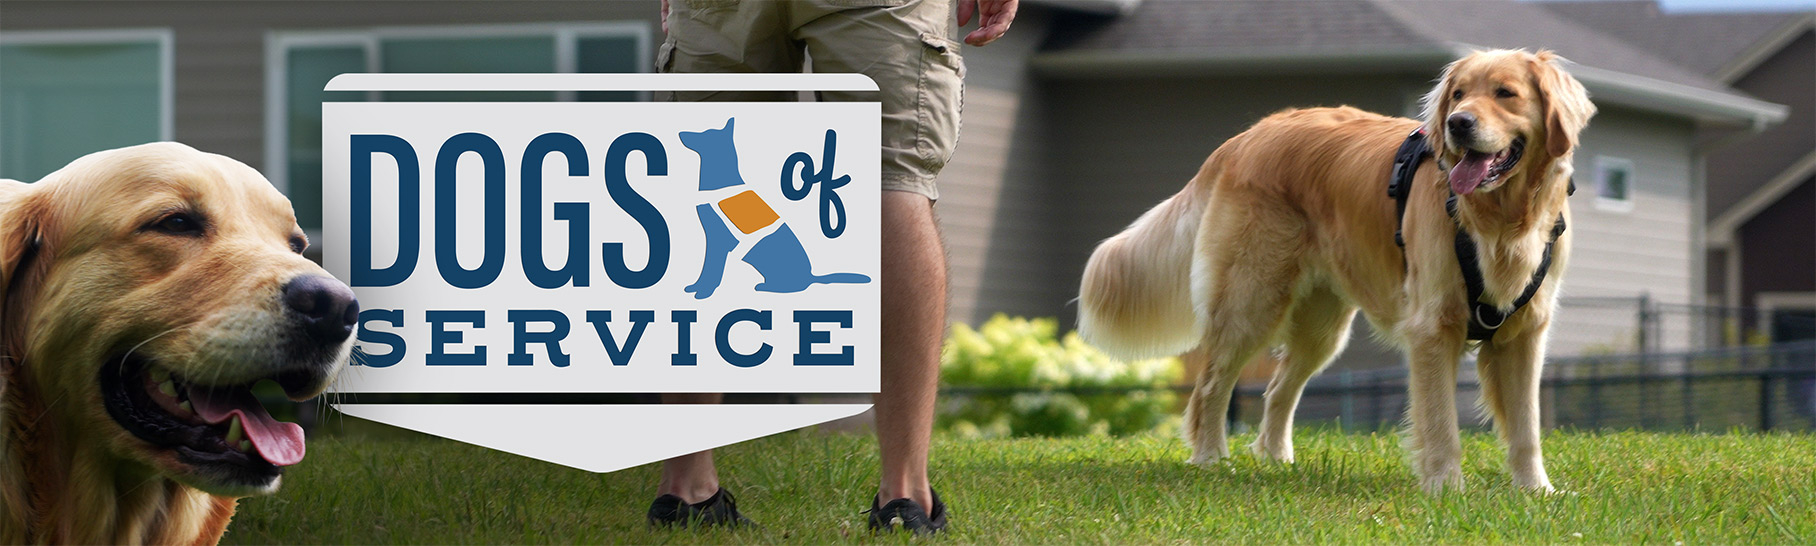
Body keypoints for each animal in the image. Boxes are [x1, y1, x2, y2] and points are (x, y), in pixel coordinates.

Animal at [1082, 51, 1598, 489]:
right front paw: (1445, 489)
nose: (1457, 123)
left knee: (1277, 390)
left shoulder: (1526, 331)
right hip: (1251, 303)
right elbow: (1441, 423)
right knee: (1209, 388)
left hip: (1322, 326)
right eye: (1457, 94)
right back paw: (1210, 459)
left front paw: (1536, 491)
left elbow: (1527, 427)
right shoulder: (1433, 327)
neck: (1502, 221)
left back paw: (1277, 461)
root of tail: (1246, 136)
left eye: (1505, 93)